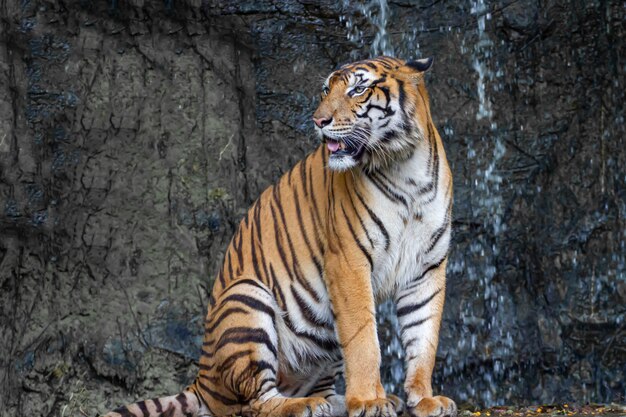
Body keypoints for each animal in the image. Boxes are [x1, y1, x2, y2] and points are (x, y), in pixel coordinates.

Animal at [101, 57, 454, 416]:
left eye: (358, 89)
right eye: (326, 89)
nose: (318, 120)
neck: (404, 167)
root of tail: (202, 381)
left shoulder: (427, 268)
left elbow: (424, 336)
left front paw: (424, 399)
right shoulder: (349, 261)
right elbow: (363, 339)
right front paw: (369, 400)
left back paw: (339, 401)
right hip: (248, 297)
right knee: (256, 403)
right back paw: (305, 405)